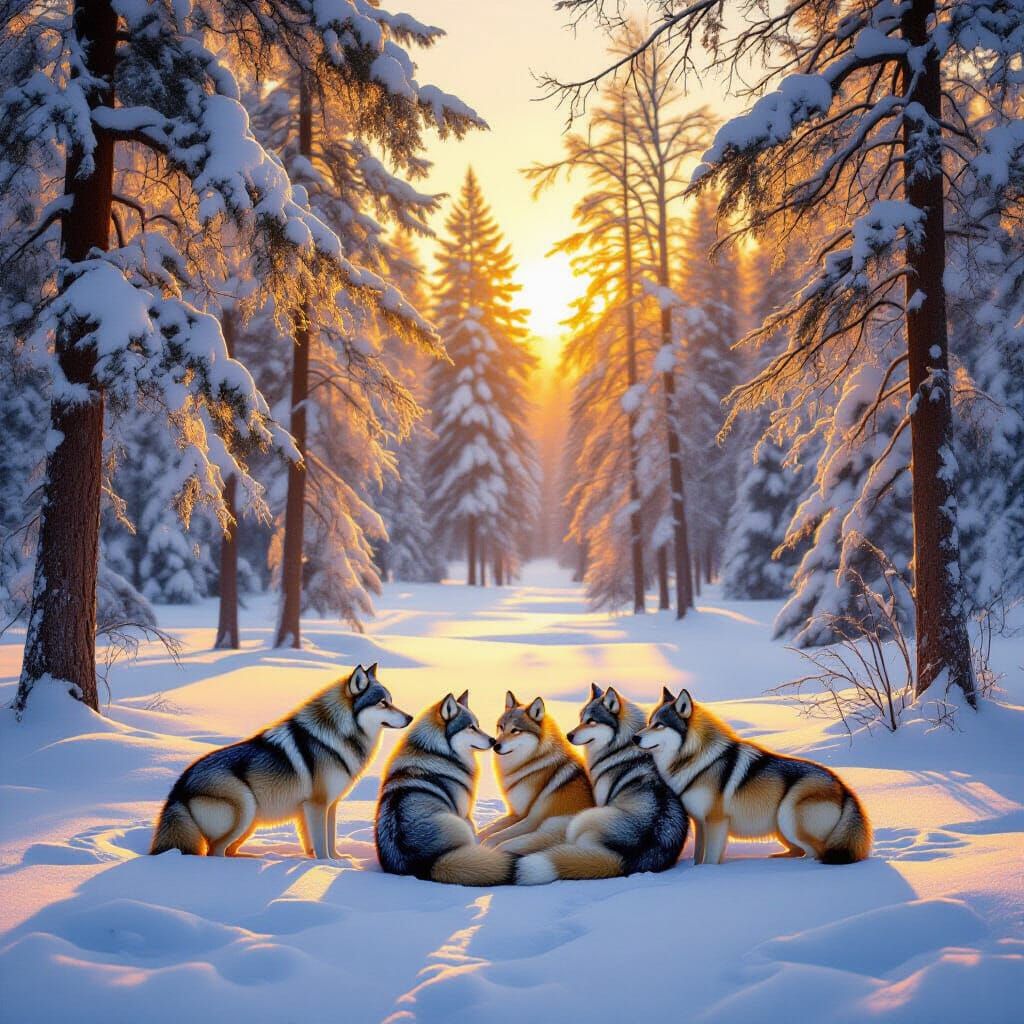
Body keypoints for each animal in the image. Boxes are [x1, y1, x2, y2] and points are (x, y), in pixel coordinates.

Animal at [151, 664, 411, 858]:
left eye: (391, 700)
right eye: (383, 703)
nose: (409, 717)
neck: (337, 737)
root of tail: (178, 790)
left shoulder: (330, 805)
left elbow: (327, 841)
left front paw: (339, 861)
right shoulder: (317, 805)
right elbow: (322, 846)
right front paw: (328, 866)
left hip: (251, 823)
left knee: (228, 850)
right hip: (246, 808)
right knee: (215, 851)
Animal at [376, 691, 518, 885]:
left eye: (478, 725)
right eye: (471, 727)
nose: (493, 740)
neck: (438, 752)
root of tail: (426, 864)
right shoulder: (465, 814)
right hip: (459, 825)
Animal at [477, 691, 595, 853]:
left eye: (516, 730)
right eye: (501, 727)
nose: (495, 745)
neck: (530, 762)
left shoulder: (526, 817)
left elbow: (492, 837)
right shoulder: (514, 813)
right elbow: (485, 830)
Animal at [515, 684, 688, 884]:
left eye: (591, 721)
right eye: (581, 718)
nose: (569, 735)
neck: (619, 746)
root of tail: (627, 858)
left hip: (582, 819)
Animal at [636, 688, 872, 864]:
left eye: (659, 725)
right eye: (649, 722)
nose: (635, 738)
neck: (698, 760)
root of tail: (844, 788)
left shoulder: (716, 821)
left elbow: (710, 860)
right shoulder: (699, 822)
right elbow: (697, 858)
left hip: (788, 818)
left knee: (814, 854)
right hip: (780, 829)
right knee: (799, 851)